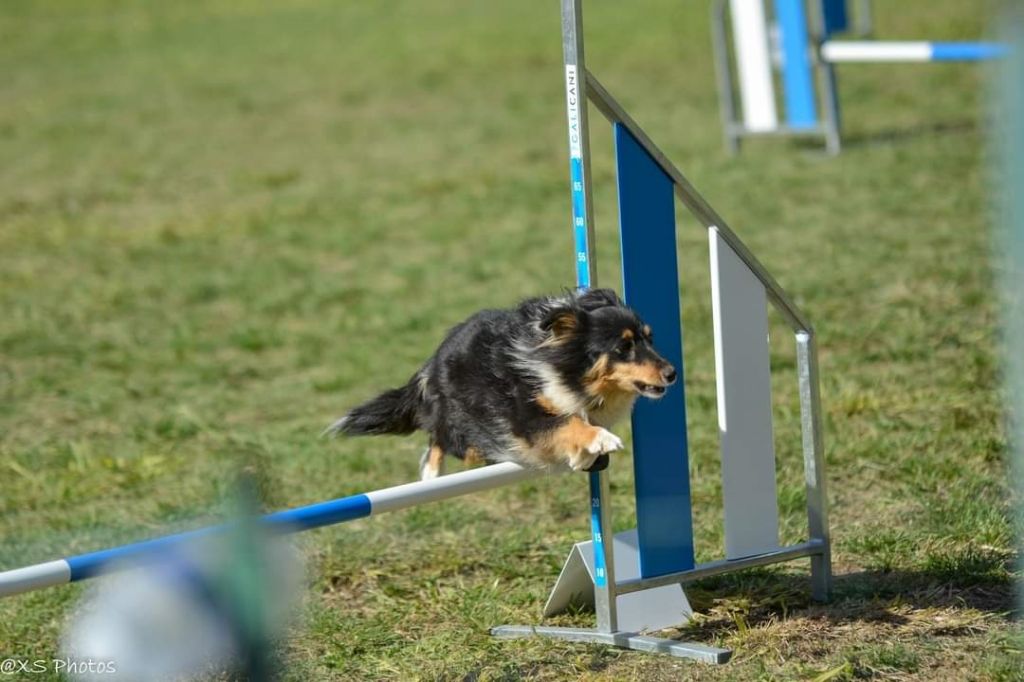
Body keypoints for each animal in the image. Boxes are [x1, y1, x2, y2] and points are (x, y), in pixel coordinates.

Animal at [323, 286, 675, 477]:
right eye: (623, 347)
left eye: (649, 339)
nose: (672, 373)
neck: (568, 368)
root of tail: (431, 362)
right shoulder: (526, 414)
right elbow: (568, 423)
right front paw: (601, 440)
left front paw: (586, 454)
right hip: (463, 420)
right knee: (441, 439)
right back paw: (430, 473)